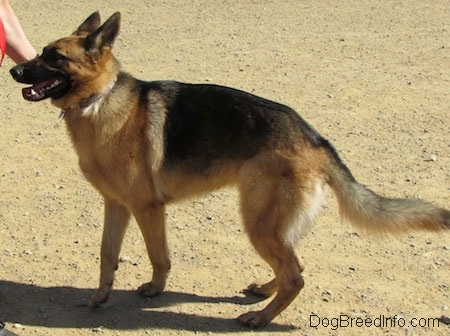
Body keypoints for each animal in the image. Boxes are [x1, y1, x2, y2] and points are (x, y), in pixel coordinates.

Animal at [9, 11, 450, 328]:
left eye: (54, 57)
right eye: (40, 52)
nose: (13, 70)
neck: (99, 101)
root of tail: (314, 137)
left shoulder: (147, 209)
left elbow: (158, 256)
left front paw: (154, 289)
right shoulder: (116, 206)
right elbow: (106, 256)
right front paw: (99, 298)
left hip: (257, 220)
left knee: (296, 275)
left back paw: (259, 318)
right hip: (270, 223)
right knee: (294, 266)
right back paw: (264, 293)